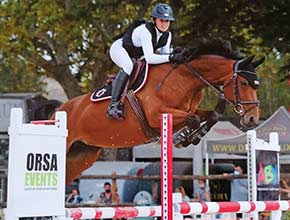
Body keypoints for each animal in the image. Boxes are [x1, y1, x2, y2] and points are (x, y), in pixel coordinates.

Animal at [54, 39, 266, 184]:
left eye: (256, 84)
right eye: (244, 83)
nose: (252, 118)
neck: (184, 78)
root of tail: (59, 110)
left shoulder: (188, 110)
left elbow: (210, 115)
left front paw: (192, 137)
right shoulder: (157, 116)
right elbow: (194, 119)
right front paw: (182, 138)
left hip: (82, 156)